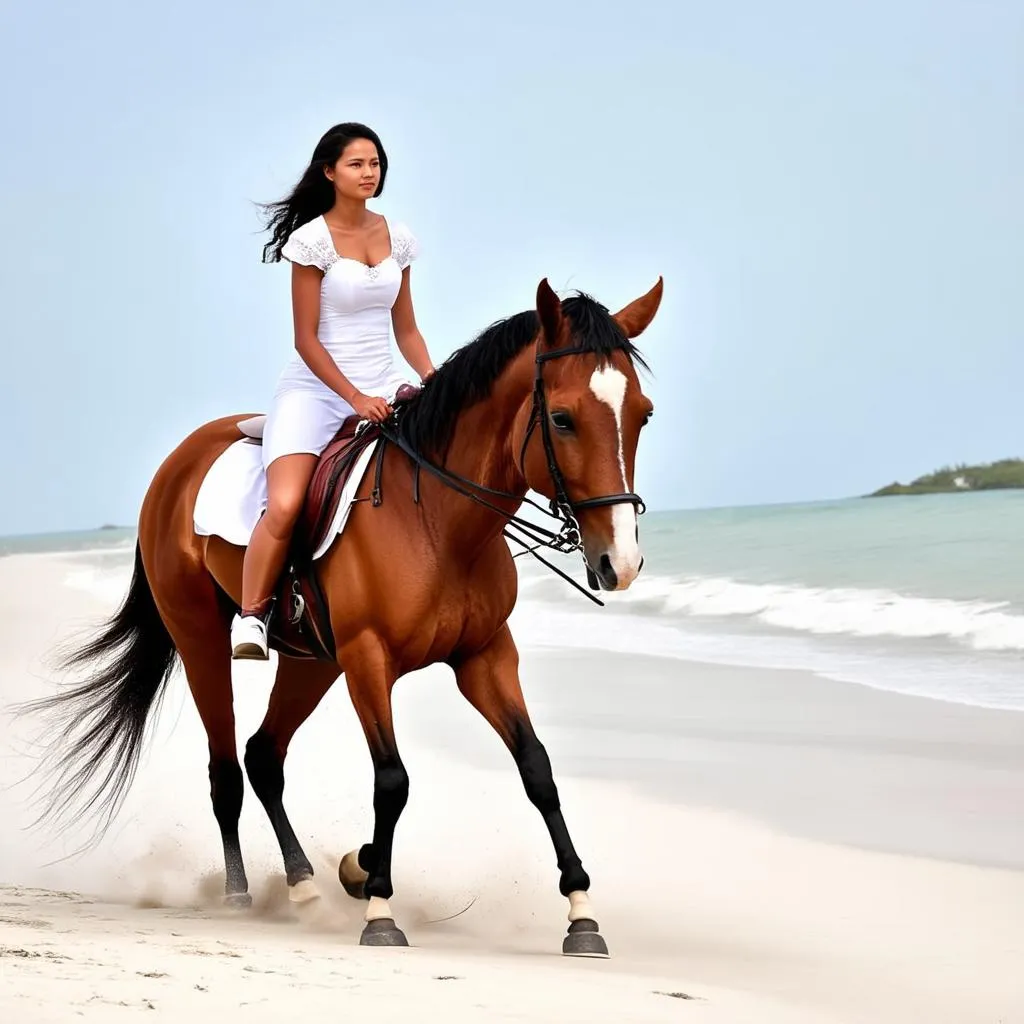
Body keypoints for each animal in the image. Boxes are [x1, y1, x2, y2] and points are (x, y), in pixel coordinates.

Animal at [25, 276, 663, 954]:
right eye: (562, 419)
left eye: (642, 414)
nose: (620, 562)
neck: (439, 521)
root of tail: (181, 460)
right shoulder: (368, 658)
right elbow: (393, 780)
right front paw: (379, 906)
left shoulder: (485, 655)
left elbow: (536, 768)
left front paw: (580, 911)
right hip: (202, 640)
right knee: (226, 769)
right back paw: (239, 896)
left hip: (313, 661)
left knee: (263, 756)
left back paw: (305, 886)